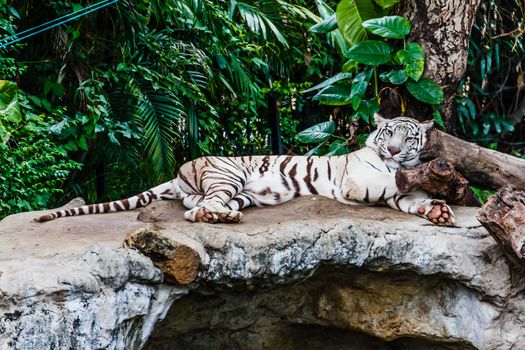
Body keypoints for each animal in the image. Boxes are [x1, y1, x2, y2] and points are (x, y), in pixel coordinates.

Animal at [34, 113, 454, 226]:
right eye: (387, 134)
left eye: (408, 137)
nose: (395, 150)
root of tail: (179, 167)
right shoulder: (359, 179)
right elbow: (390, 181)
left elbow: (409, 196)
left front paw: (436, 209)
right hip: (227, 175)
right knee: (195, 212)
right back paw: (220, 218)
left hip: (236, 191)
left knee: (196, 207)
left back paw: (225, 215)